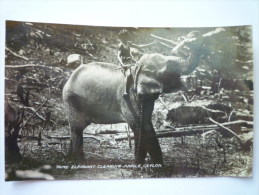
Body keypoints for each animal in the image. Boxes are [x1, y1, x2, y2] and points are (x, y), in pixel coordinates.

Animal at [62, 31, 205, 165]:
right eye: (167, 68)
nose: (193, 34)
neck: (135, 68)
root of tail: (70, 76)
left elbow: (147, 124)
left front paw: (155, 167)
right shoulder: (129, 98)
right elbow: (140, 126)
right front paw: (141, 168)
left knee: (75, 128)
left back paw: (69, 158)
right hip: (72, 99)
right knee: (77, 128)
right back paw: (79, 161)